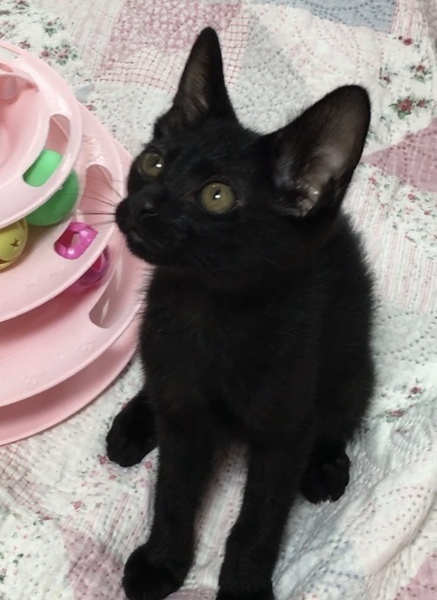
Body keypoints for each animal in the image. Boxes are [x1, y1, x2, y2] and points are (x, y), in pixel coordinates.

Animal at [106, 27, 375, 600]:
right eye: (153, 162)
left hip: (352, 367)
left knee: (341, 412)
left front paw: (245, 584)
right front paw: (162, 562)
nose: (143, 205)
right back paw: (134, 424)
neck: (209, 312)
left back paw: (325, 466)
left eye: (217, 196)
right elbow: (174, 493)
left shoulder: (284, 431)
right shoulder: (182, 411)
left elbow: (261, 517)